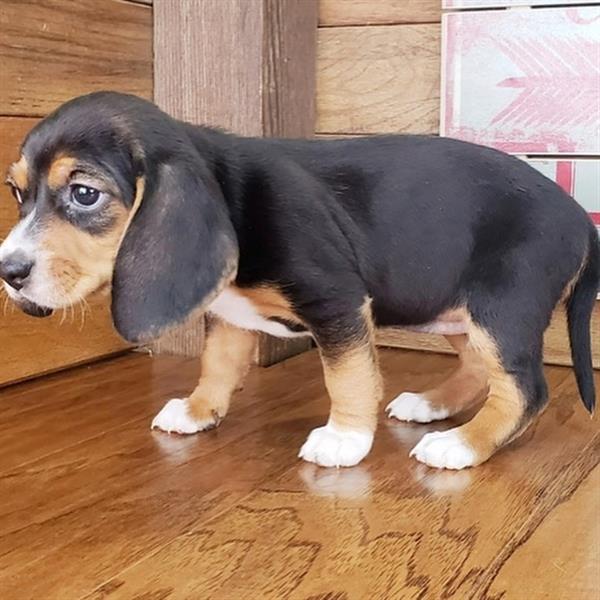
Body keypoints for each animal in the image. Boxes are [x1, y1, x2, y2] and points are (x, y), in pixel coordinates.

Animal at [2, 92, 596, 468]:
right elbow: (217, 367)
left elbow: (348, 376)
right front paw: (197, 411)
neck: (233, 200)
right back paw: (432, 407)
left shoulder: (335, 301)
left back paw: (462, 446)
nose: (8, 271)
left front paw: (345, 439)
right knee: (477, 366)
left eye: (84, 194)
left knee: (525, 389)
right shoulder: (229, 315)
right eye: (17, 192)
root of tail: (579, 218)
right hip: (454, 309)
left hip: (503, 305)